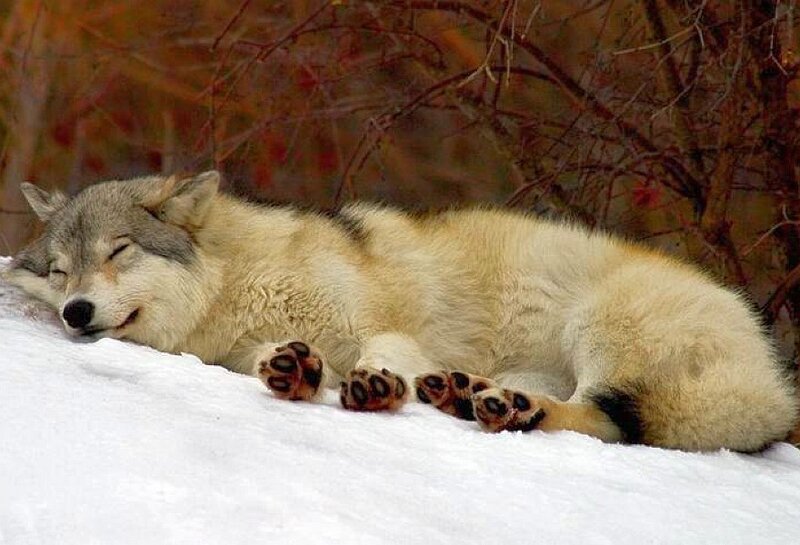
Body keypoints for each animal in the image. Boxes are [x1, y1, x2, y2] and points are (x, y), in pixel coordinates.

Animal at [3, 171, 798, 452]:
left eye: (119, 250)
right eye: (59, 269)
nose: (75, 311)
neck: (240, 283)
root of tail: (772, 377)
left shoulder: (382, 327)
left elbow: (382, 355)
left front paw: (376, 386)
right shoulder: (258, 341)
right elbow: (274, 359)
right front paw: (294, 372)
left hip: (597, 330)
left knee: (602, 417)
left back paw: (507, 408)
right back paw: (465, 395)